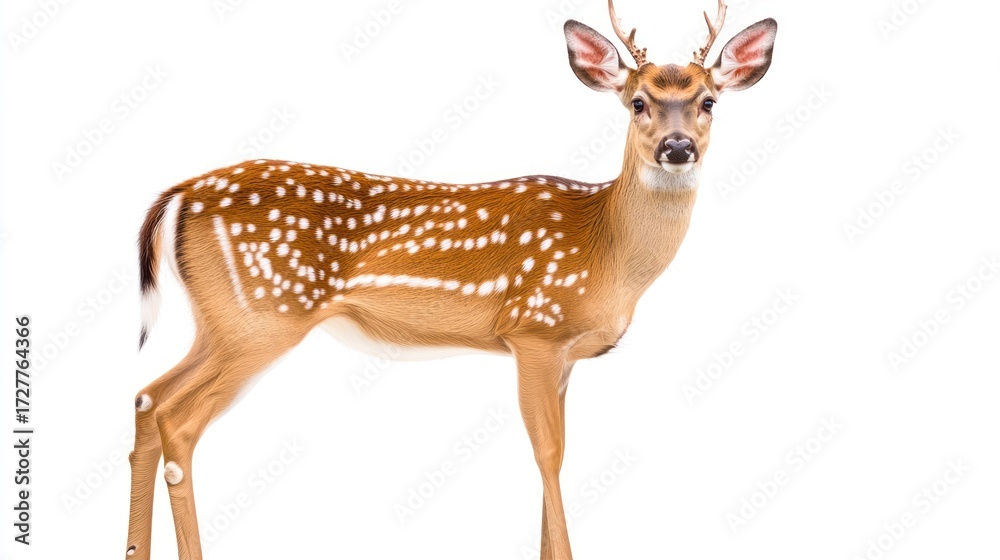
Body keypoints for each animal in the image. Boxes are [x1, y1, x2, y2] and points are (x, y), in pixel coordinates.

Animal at [124, 1, 776, 558]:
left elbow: (557, 451)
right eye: (637, 102)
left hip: (221, 320)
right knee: (177, 419)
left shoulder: (562, 353)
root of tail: (178, 194)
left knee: (147, 396)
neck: (605, 249)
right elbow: (549, 454)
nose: (677, 147)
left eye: (709, 101)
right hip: (261, 314)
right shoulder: (533, 329)